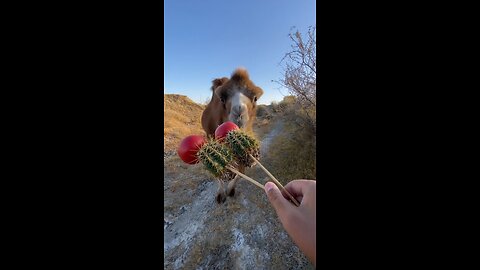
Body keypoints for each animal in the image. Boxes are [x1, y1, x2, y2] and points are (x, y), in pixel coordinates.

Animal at [201, 68, 264, 204]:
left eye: (255, 98)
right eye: (222, 98)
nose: (239, 112)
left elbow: (241, 170)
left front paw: (230, 190)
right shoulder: (211, 137)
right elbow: (217, 169)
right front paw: (220, 194)